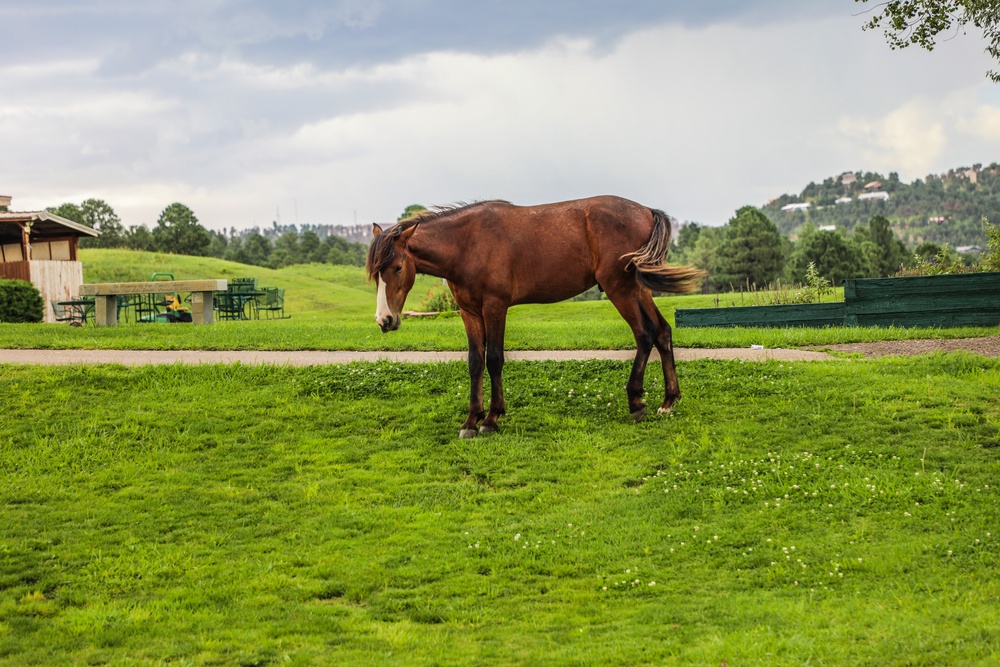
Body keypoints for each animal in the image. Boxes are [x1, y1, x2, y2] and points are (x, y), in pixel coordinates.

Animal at [368, 196, 704, 440]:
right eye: (374, 274)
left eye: (397, 267)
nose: (385, 320)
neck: (467, 243)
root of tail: (646, 211)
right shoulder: (470, 313)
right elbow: (475, 363)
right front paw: (471, 421)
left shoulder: (495, 307)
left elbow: (494, 360)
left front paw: (491, 419)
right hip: (638, 289)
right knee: (662, 331)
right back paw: (668, 401)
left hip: (620, 289)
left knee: (644, 335)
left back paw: (636, 402)